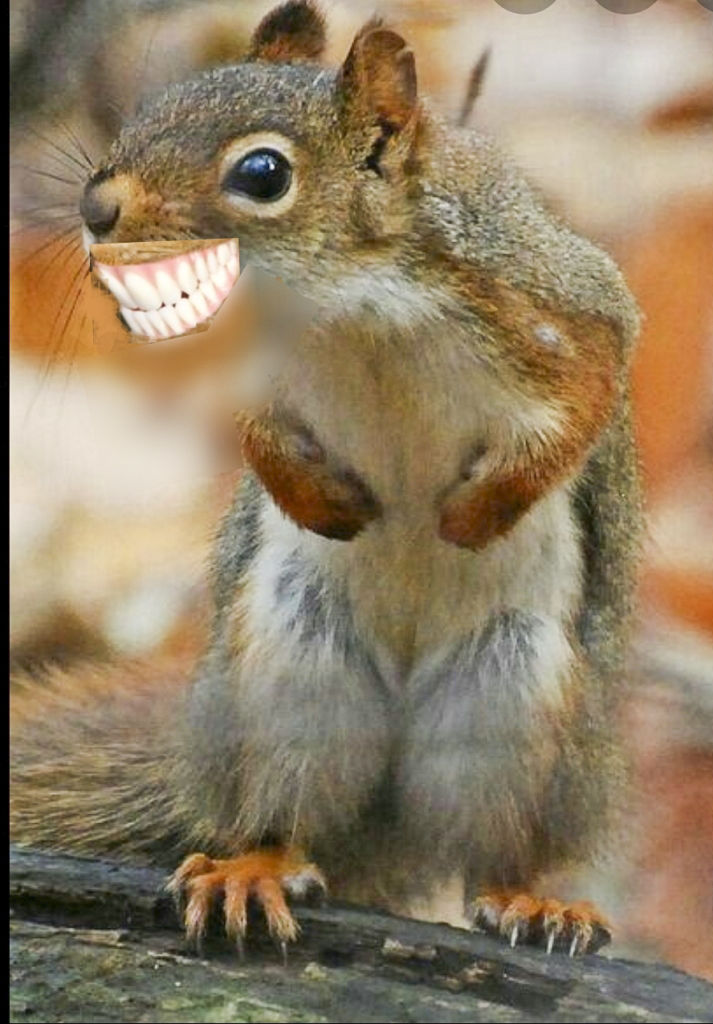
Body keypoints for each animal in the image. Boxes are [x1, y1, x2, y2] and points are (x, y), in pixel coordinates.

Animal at [11, 1, 642, 957]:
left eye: (262, 173)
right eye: (151, 110)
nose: (95, 206)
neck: (356, 304)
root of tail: (388, 827)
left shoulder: (552, 297)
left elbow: (593, 388)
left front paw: (476, 512)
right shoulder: (257, 362)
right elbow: (249, 426)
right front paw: (322, 501)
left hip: (521, 701)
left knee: (498, 848)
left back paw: (532, 899)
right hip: (287, 672)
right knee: (282, 813)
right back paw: (254, 869)